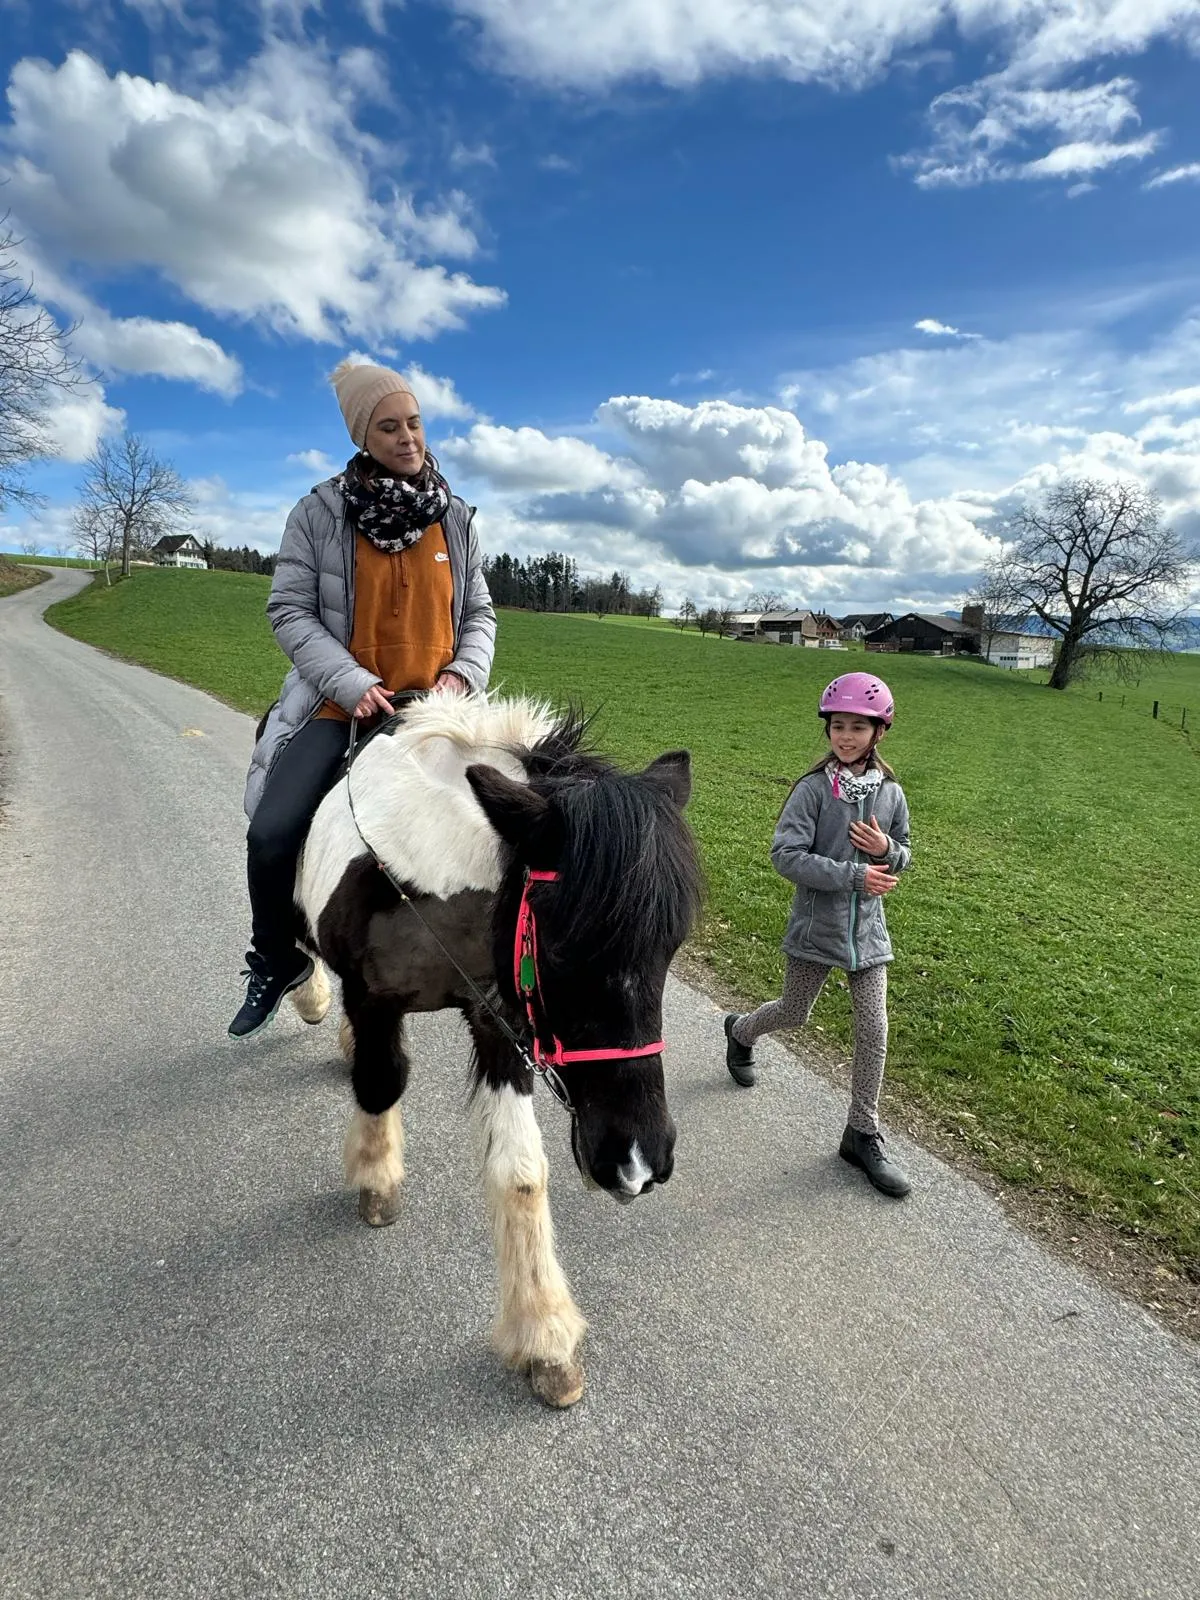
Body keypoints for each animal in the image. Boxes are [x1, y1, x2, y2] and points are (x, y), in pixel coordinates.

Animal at [292, 694, 704, 1408]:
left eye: (669, 947)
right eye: (562, 947)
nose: (638, 1162)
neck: (423, 876)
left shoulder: (502, 1020)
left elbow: (521, 1172)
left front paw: (545, 1337)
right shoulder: (375, 1000)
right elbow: (381, 1080)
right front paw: (376, 1178)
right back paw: (308, 994)